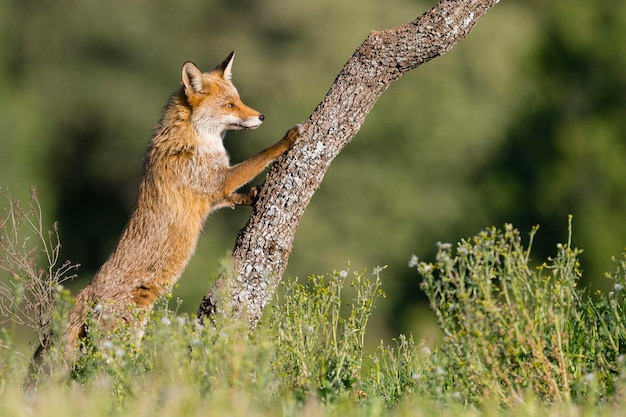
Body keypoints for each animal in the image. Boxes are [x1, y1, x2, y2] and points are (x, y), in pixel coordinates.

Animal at [58, 51, 300, 358]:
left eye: (239, 99)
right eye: (230, 105)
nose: (261, 116)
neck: (192, 139)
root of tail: (86, 293)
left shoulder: (214, 194)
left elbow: (233, 197)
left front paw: (252, 196)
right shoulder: (218, 179)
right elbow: (259, 157)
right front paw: (286, 139)